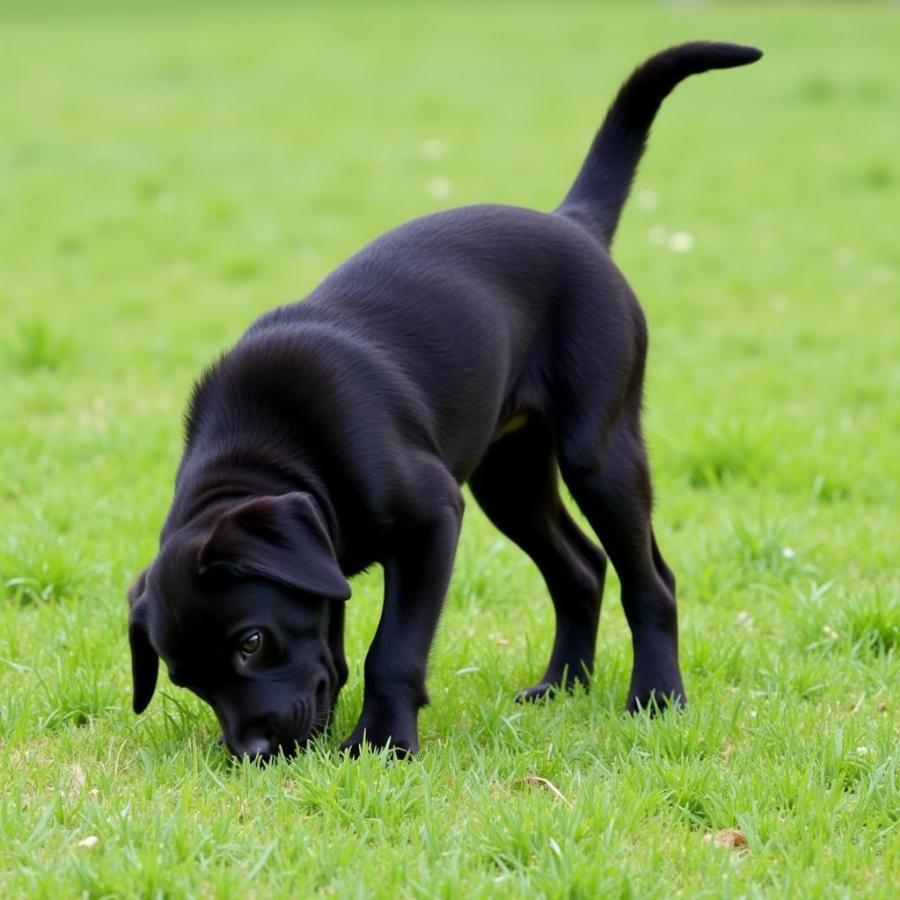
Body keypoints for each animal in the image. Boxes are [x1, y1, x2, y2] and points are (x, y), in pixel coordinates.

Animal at [126, 42, 760, 760]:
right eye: (186, 680)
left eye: (251, 642)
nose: (253, 753)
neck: (270, 447)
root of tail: (572, 222)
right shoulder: (337, 559)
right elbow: (335, 643)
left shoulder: (432, 520)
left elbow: (391, 648)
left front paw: (381, 741)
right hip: (508, 476)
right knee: (581, 568)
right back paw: (562, 686)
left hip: (598, 451)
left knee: (650, 580)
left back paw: (655, 698)